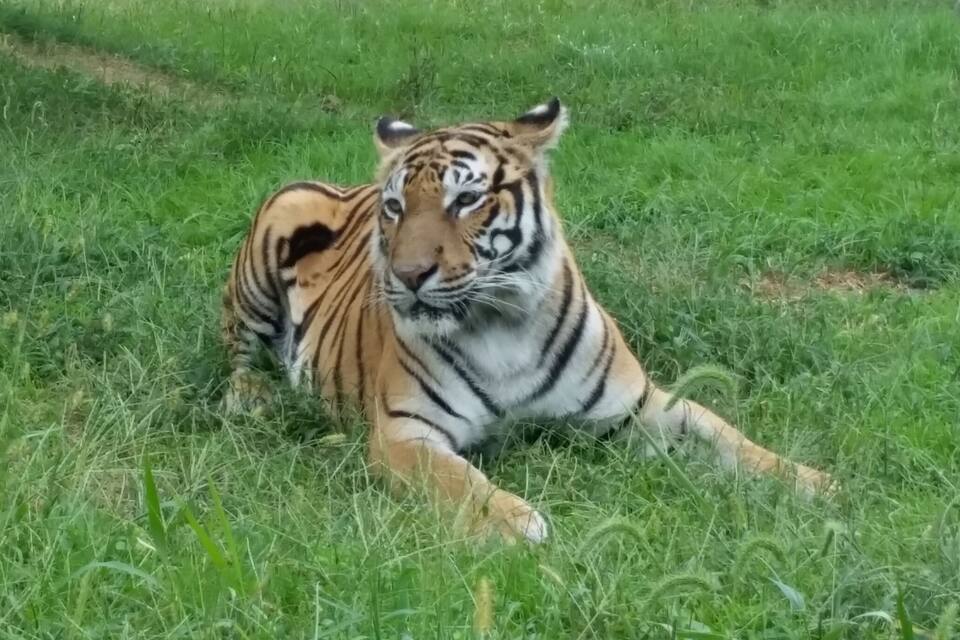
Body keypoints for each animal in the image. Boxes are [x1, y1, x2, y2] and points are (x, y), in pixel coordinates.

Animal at [220, 98, 836, 543]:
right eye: (395, 209)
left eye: (466, 200)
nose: (409, 274)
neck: (501, 323)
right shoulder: (406, 431)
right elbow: (456, 480)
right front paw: (515, 523)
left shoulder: (637, 409)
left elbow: (727, 436)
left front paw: (813, 482)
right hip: (271, 238)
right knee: (236, 352)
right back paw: (253, 396)